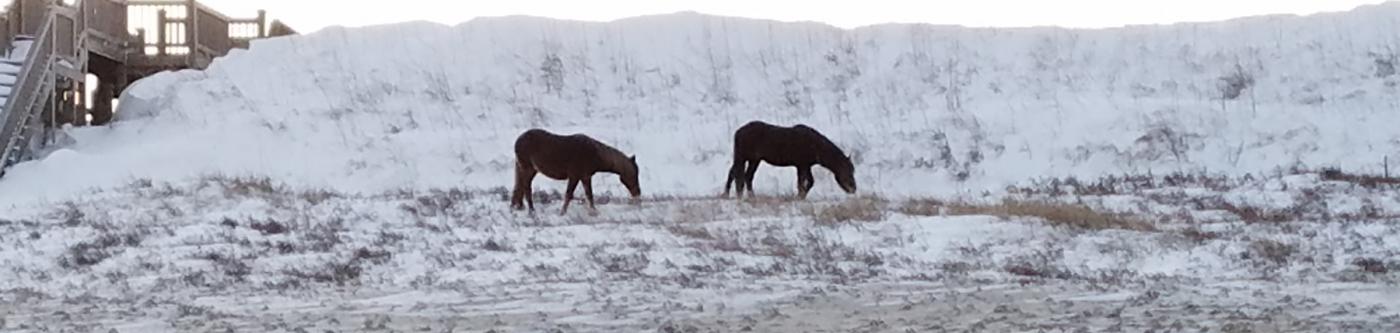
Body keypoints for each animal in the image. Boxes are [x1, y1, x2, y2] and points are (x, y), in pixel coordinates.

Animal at [512, 128, 641, 214]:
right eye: (633, 174)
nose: (638, 193)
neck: (594, 154)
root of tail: (518, 140)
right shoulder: (574, 176)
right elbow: (569, 194)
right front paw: (562, 212)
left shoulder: (585, 177)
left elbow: (589, 194)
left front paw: (594, 211)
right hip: (527, 169)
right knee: (526, 188)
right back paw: (531, 210)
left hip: (528, 169)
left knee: (520, 187)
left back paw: (518, 207)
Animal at [728, 120, 856, 198]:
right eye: (847, 172)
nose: (853, 189)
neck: (815, 146)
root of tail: (738, 131)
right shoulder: (802, 165)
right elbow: (802, 183)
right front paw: (799, 196)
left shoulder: (805, 166)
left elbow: (809, 182)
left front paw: (801, 196)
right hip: (743, 158)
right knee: (740, 177)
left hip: (753, 160)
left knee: (743, 176)